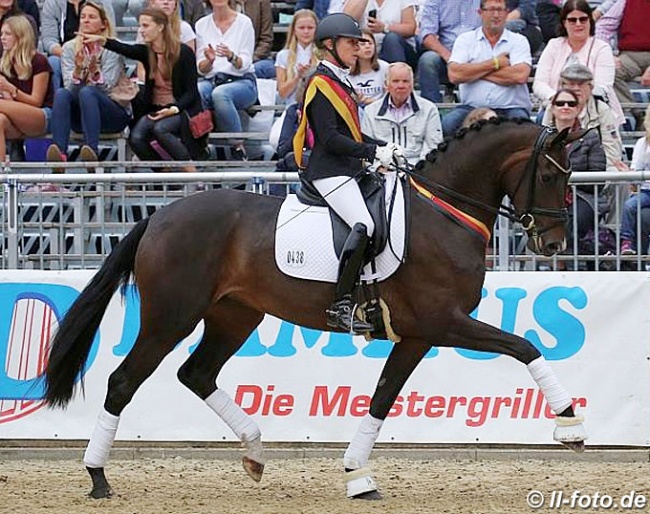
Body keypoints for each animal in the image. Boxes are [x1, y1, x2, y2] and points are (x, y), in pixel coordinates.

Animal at [43, 118, 584, 498]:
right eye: (550, 174)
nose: (555, 243)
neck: (441, 212)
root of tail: (159, 217)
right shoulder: (444, 322)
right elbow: (525, 346)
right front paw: (570, 425)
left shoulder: (417, 334)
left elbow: (382, 399)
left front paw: (358, 476)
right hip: (170, 317)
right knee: (124, 381)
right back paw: (97, 477)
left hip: (235, 315)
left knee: (196, 373)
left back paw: (255, 452)